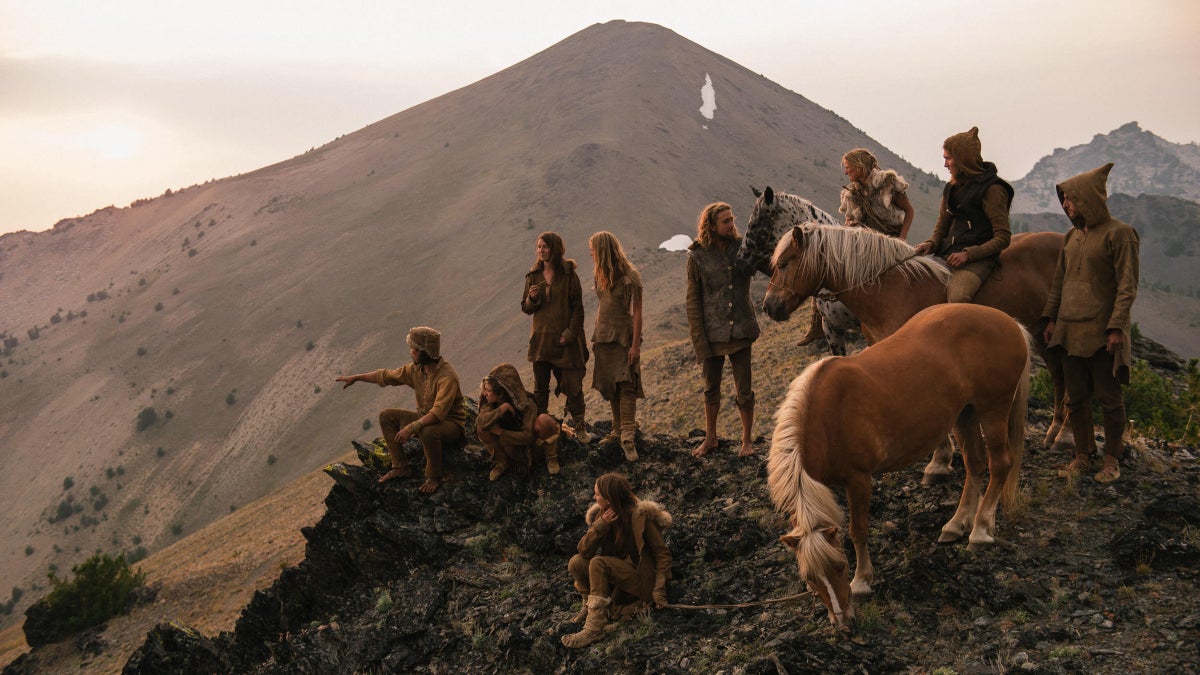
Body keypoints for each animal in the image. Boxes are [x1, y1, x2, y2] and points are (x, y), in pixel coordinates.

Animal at [768, 303, 1032, 629]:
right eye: (809, 579)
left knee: (999, 464)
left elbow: (858, 530)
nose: (844, 623)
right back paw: (956, 524)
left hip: (993, 410)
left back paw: (981, 529)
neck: (825, 419)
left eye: (841, 566)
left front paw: (862, 581)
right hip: (965, 414)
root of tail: (1010, 322)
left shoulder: (859, 480)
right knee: (975, 463)